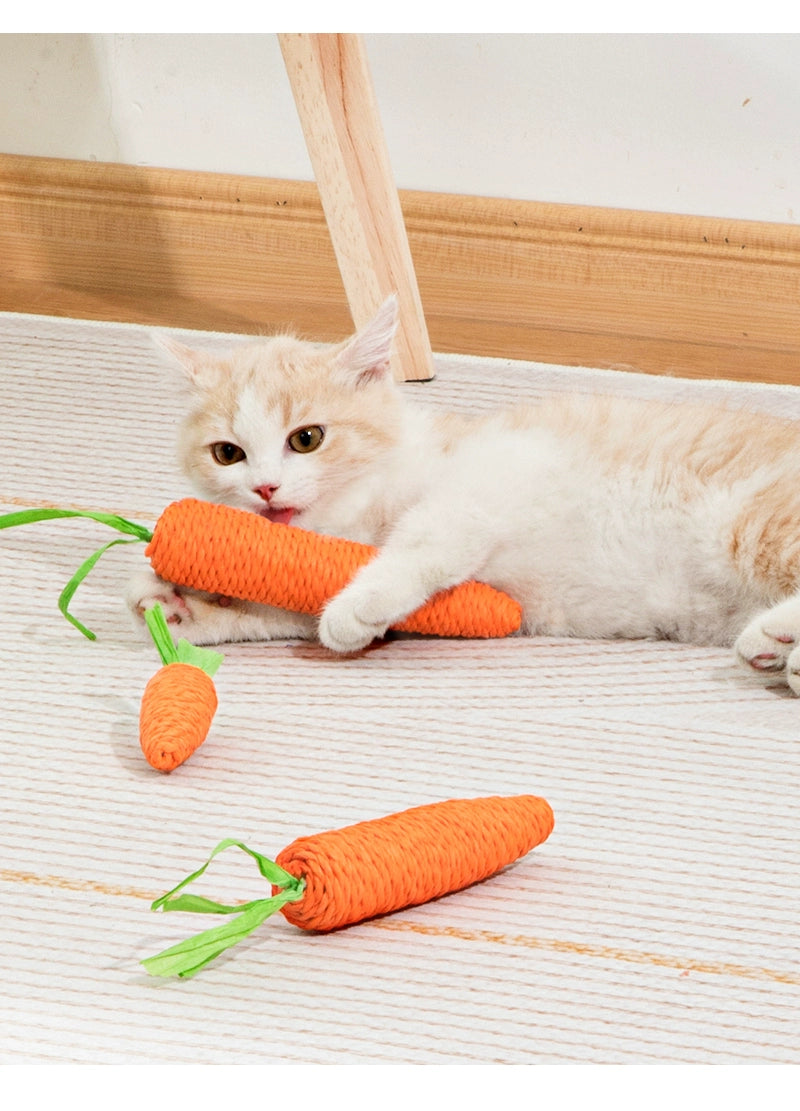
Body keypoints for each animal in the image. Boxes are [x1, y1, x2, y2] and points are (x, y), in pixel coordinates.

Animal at [126, 295, 800, 693]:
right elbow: (285, 606)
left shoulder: (495, 476)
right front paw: (180, 608)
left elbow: (425, 539)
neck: (355, 513)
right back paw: (781, 653)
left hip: (755, 523)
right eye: (227, 454)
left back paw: (775, 642)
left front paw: (358, 606)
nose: (265, 487)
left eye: (307, 438)